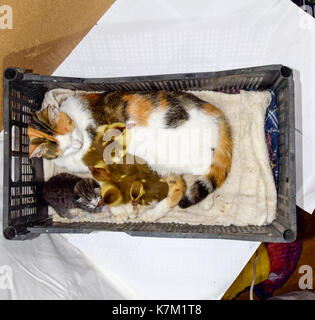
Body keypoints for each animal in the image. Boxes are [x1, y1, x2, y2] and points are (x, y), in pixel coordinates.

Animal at [28, 90, 233, 216]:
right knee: (180, 186)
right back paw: (154, 214)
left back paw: (206, 199)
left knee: (208, 165)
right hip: (162, 163)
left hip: (182, 155)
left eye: (70, 131)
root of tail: (214, 111)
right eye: (63, 147)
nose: (78, 144)